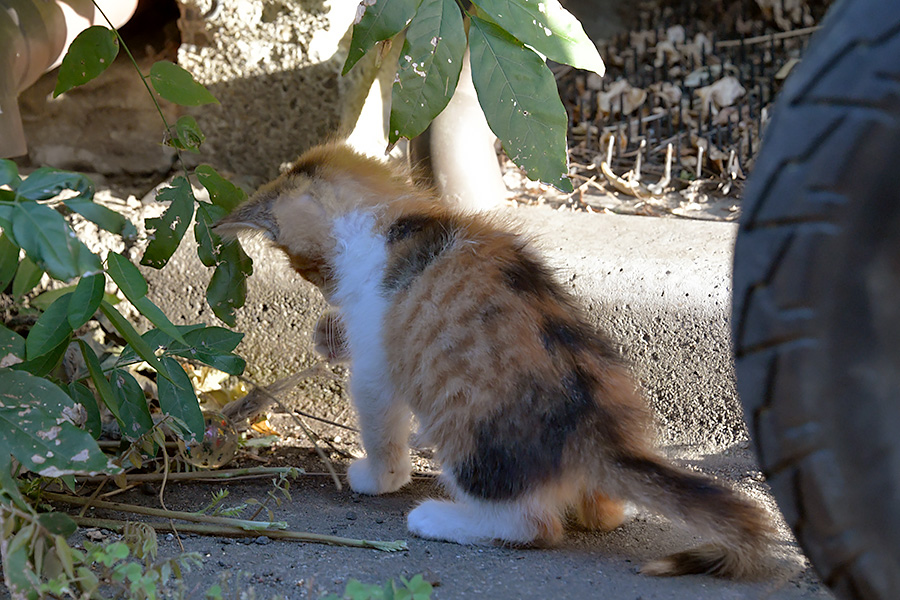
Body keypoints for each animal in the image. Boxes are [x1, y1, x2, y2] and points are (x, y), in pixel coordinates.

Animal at [216, 143, 772, 580]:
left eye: (301, 266)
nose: (323, 289)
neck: (398, 220)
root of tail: (597, 437)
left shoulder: (377, 358)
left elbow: (379, 422)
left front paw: (378, 478)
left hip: (470, 439)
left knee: (532, 525)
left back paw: (437, 518)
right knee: (601, 514)